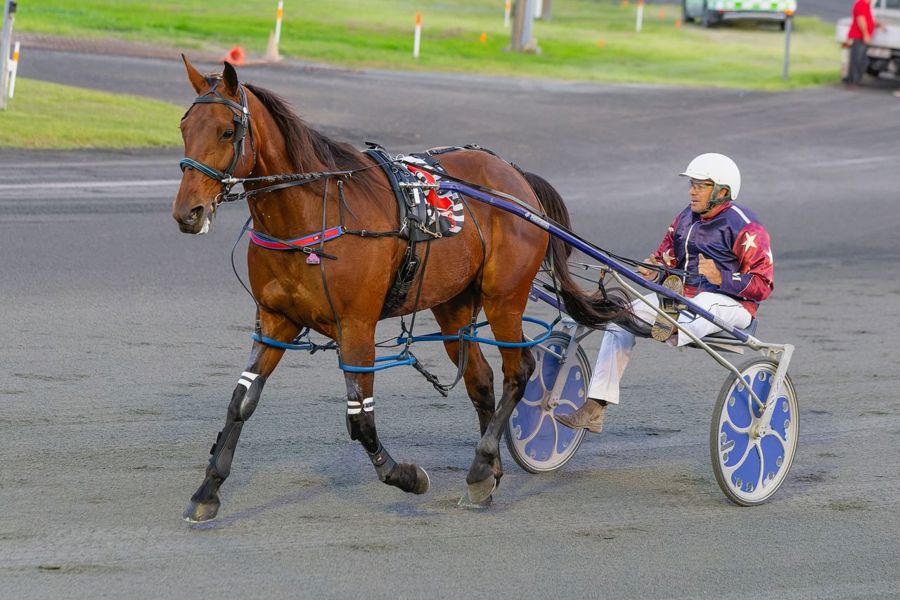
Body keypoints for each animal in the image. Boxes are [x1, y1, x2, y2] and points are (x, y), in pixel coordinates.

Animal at [173, 56, 628, 522]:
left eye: (227, 131)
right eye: (184, 126)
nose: (187, 212)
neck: (311, 216)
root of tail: (516, 177)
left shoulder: (356, 326)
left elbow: (360, 420)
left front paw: (406, 476)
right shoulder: (274, 321)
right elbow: (241, 401)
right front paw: (207, 490)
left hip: (505, 298)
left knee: (519, 371)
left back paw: (483, 462)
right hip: (453, 303)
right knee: (480, 379)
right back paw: (489, 473)